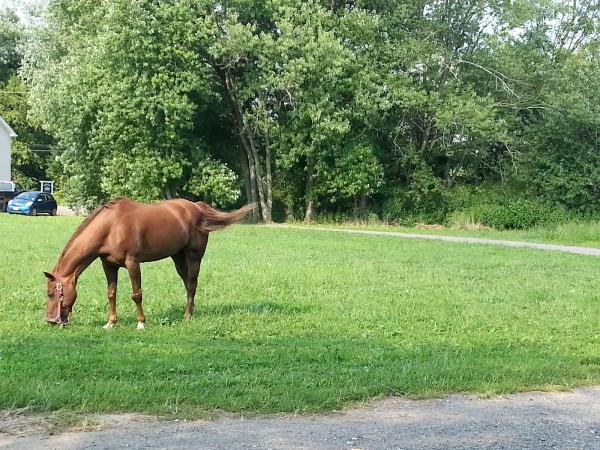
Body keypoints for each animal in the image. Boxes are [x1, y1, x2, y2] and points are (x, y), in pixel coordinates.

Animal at [44, 199, 253, 328]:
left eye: (51, 293)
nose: (51, 321)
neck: (111, 227)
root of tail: (197, 207)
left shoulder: (132, 263)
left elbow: (137, 295)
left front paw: (141, 323)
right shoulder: (108, 265)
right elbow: (111, 294)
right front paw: (110, 323)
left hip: (194, 257)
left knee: (192, 284)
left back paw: (187, 316)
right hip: (178, 258)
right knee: (188, 284)